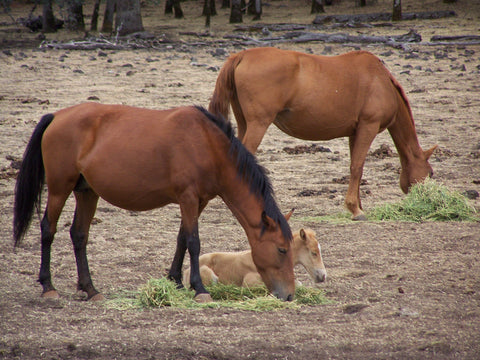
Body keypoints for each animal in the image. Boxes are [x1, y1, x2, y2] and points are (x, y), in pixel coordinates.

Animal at [12, 103, 296, 300]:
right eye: (282, 249)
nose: (290, 294)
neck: (207, 144)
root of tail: (57, 116)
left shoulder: (199, 201)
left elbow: (182, 238)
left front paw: (176, 281)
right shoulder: (188, 197)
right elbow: (193, 241)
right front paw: (199, 288)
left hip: (87, 192)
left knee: (79, 235)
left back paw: (90, 289)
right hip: (59, 189)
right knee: (48, 229)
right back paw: (48, 286)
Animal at [208, 47, 436, 219]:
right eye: (431, 173)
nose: (425, 197)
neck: (380, 81)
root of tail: (242, 55)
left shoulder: (355, 133)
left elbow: (357, 167)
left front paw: (358, 205)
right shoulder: (368, 127)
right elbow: (357, 167)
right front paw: (355, 209)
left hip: (245, 123)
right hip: (258, 124)